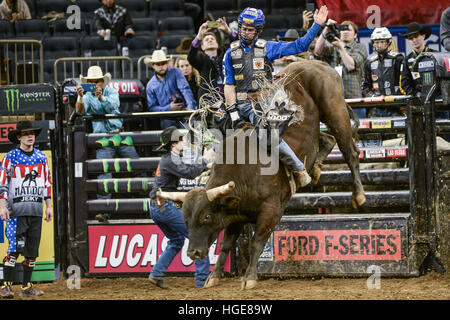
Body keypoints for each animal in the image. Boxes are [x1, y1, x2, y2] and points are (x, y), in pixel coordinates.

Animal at [156, 60, 364, 290]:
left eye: (206, 216)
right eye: (185, 219)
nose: (193, 252)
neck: (244, 173)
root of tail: (316, 63)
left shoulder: (271, 211)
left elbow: (257, 242)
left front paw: (249, 277)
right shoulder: (235, 213)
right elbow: (226, 244)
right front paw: (214, 276)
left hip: (334, 110)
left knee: (349, 150)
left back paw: (358, 195)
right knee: (327, 140)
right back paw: (315, 170)